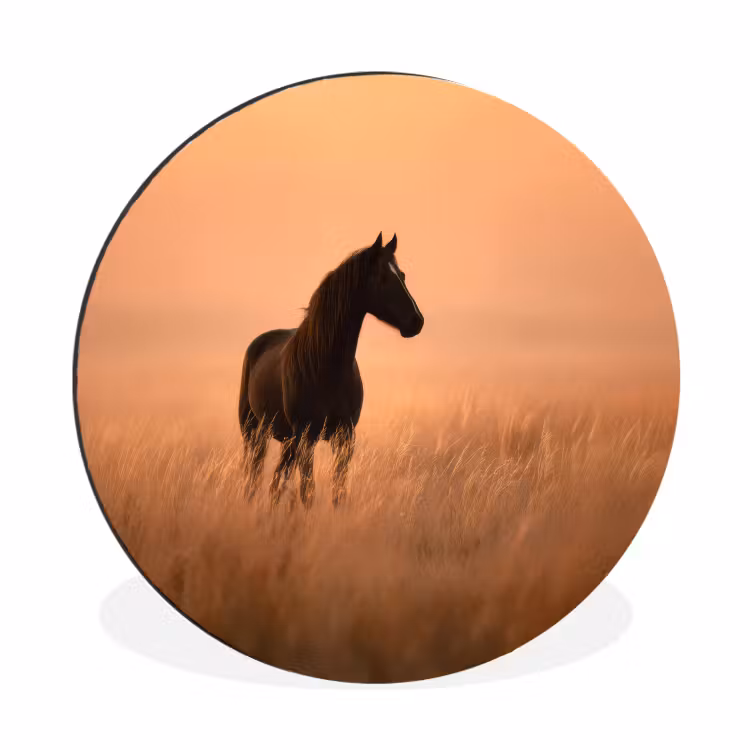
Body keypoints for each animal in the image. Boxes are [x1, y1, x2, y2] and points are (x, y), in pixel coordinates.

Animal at [237, 232, 424, 507]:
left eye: (402, 275)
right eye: (382, 277)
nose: (416, 321)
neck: (326, 367)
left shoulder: (344, 437)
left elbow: (338, 492)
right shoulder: (307, 438)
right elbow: (308, 492)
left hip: (286, 440)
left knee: (276, 482)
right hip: (255, 433)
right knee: (255, 478)